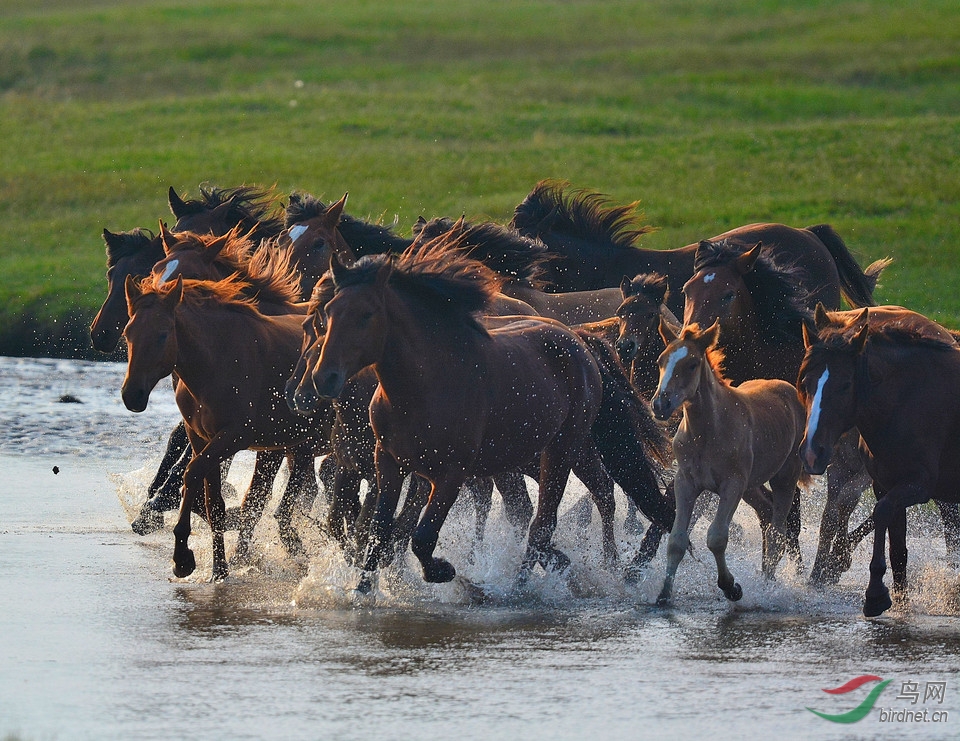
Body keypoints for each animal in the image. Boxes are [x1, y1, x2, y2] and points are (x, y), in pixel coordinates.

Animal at [122, 274, 330, 580]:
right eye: (128, 333)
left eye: (162, 334)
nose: (132, 395)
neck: (217, 361)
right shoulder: (201, 437)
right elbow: (214, 502)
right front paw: (219, 569)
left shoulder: (234, 436)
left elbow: (191, 473)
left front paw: (182, 558)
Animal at [312, 237, 672, 588]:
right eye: (329, 312)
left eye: (367, 314)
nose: (324, 377)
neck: (422, 389)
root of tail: (579, 340)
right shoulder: (389, 463)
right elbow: (378, 533)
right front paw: (364, 591)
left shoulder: (450, 474)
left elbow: (422, 537)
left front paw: (444, 571)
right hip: (554, 452)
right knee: (571, 505)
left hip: (560, 451)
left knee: (545, 522)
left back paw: (526, 585)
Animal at [652, 320, 808, 604]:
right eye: (661, 361)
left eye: (692, 364)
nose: (660, 403)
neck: (708, 430)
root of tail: (789, 389)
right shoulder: (686, 483)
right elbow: (677, 540)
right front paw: (663, 595)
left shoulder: (731, 485)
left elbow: (716, 537)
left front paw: (730, 587)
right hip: (751, 486)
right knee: (766, 513)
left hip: (784, 478)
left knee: (777, 532)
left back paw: (768, 585)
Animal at [800, 306, 960, 620]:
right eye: (805, 382)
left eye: (845, 384)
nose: (812, 452)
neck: (908, 399)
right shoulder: (885, 483)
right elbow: (898, 552)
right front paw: (900, 604)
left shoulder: (917, 484)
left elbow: (880, 513)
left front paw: (874, 593)